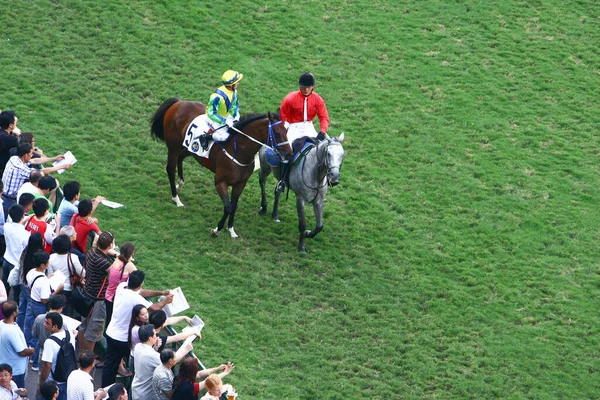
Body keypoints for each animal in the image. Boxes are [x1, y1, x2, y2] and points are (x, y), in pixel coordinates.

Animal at [150, 97, 290, 238]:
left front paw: (231, 230)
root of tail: (179, 102)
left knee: (181, 157)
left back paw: (180, 184)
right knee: (170, 169)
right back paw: (176, 198)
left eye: (286, 131)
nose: (289, 153)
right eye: (277, 133)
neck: (239, 151)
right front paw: (216, 229)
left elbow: (234, 206)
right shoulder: (220, 182)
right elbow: (228, 207)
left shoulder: (240, 184)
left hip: (190, 148)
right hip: (173, 146)